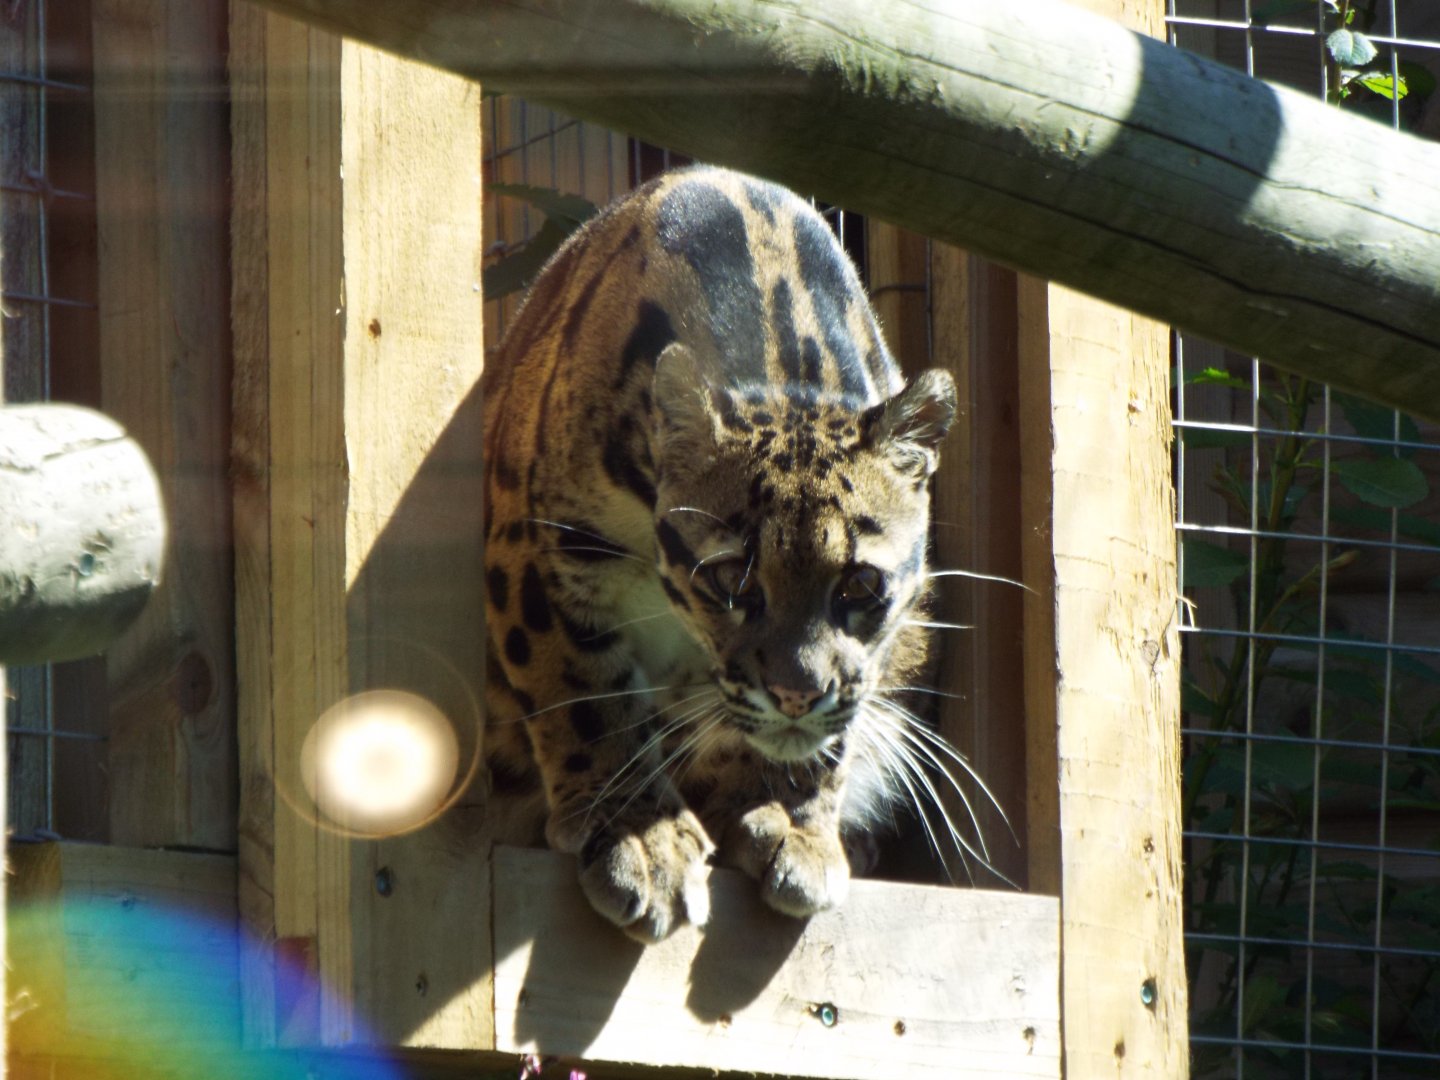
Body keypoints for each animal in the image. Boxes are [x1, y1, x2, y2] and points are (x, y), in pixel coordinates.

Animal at [482, 165, 968, 943]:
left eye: (861, 587)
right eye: (732, 580)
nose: (797, 696)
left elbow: (840, 718)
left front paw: (793, 820)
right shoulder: (540, 549)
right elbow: (584, 694)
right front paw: (641, 836)